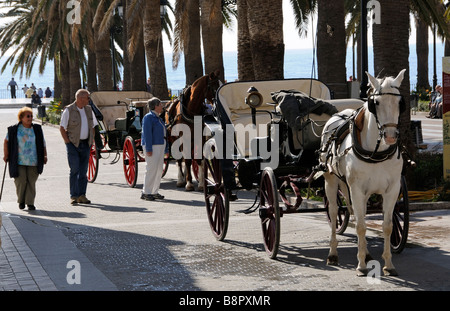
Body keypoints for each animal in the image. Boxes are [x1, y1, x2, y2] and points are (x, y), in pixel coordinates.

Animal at [320, 69, 408, 276]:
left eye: (400, 103)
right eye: (376, 103)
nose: (390, 136)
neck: (376, 152)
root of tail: (339, 114)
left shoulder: (392, 189)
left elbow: (387, 226)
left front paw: (388, 264)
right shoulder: (357, 189)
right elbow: (360, 227)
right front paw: (360, 265)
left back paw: (367, 253)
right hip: (331, 181)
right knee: (334, 212)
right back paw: (333, 253)